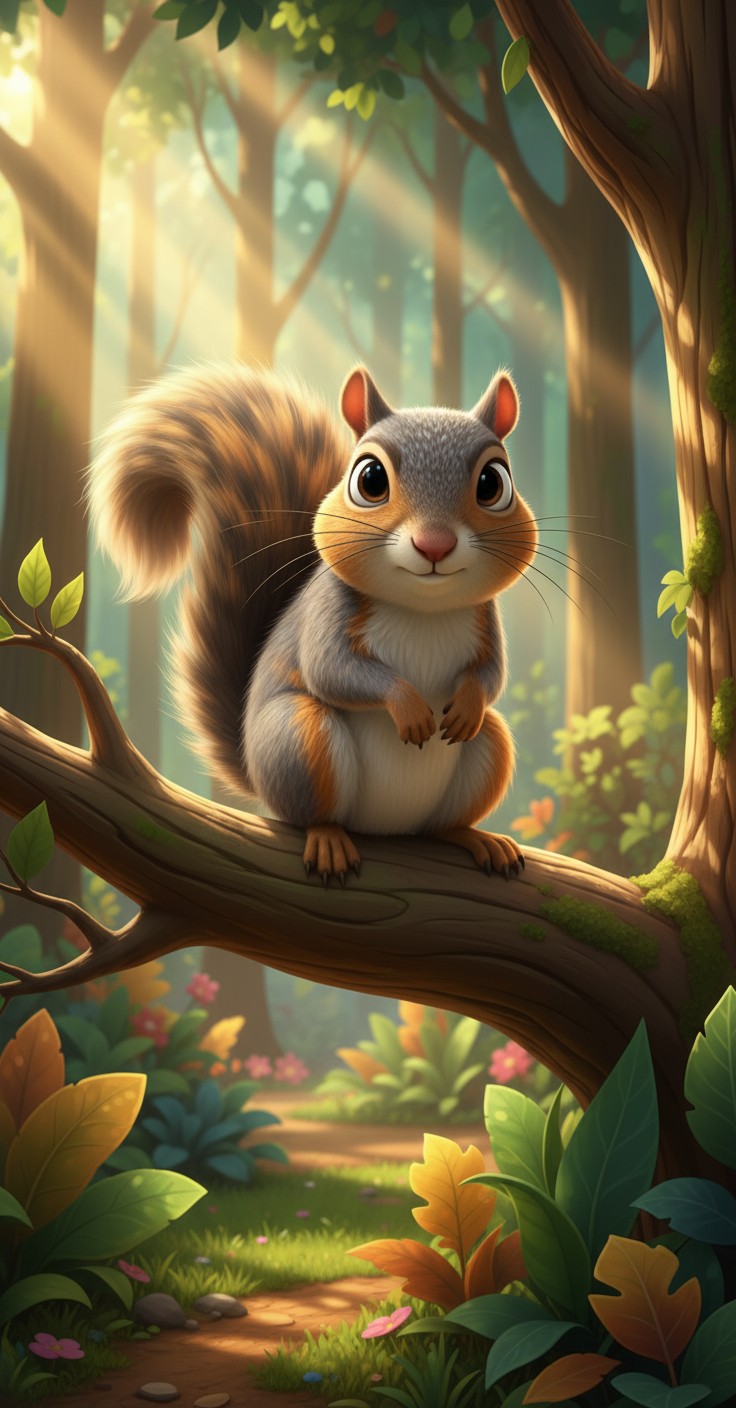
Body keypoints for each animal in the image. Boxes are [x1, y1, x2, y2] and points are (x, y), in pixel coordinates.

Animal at [88, 363, 537, 885]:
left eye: (493, 482)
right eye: (370, 479)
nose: (435, 545)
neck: (424, 608)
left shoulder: (486, 621)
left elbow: (491, 675)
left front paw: (467, 704)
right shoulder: (326, 614)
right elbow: (332, 670)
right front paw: (408, 707)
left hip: (488, 749)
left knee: (444, 818)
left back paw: (475, 837)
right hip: (298, 740)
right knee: (311, 810)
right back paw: (328, 840)